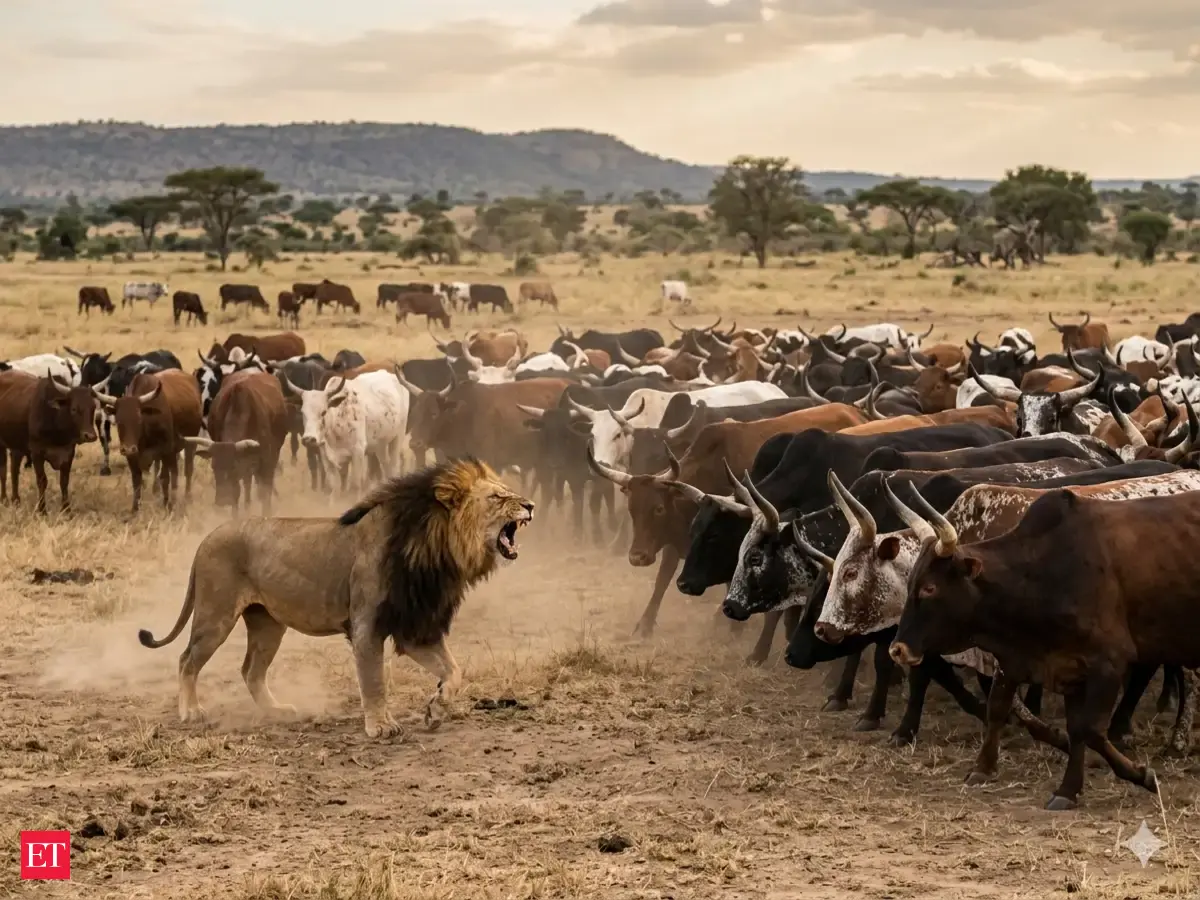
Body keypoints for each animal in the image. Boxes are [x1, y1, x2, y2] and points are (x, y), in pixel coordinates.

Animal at [138, 457, 534, 738]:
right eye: (498, 497)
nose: (530, 505)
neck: (436, 548)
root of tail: (207, 537)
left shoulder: (415, 627)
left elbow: (454, 671)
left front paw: (435, 709)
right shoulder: (367, 625)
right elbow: (373, 680)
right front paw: (381, 726)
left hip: (268, 624)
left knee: (250, 670)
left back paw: (275, 710)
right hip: (215, 614)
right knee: (187, 659)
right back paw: (191, 711)